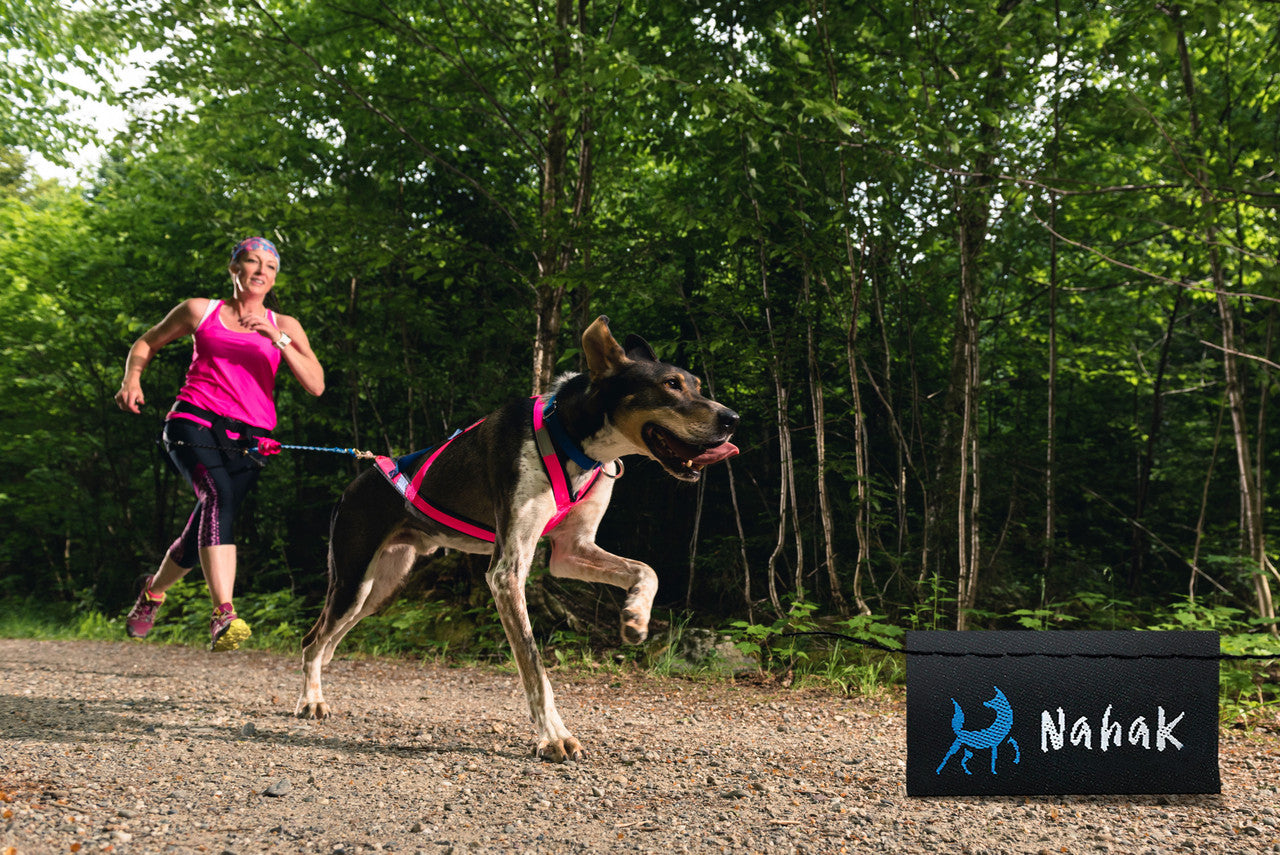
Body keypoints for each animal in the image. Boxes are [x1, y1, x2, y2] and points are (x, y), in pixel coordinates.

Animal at [296, 316, 742, 762]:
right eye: (670, 384)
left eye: (696, 384)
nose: (733, 418)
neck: (571, 436)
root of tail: (356, 482)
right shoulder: (506, 573)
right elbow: (534, 666)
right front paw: (554, 736)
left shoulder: (572, 551)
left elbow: (646, 570)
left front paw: (635, 616)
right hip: (354, 583)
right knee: (312, 640)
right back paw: (311, 701)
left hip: (381, 589)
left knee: (328, 639)